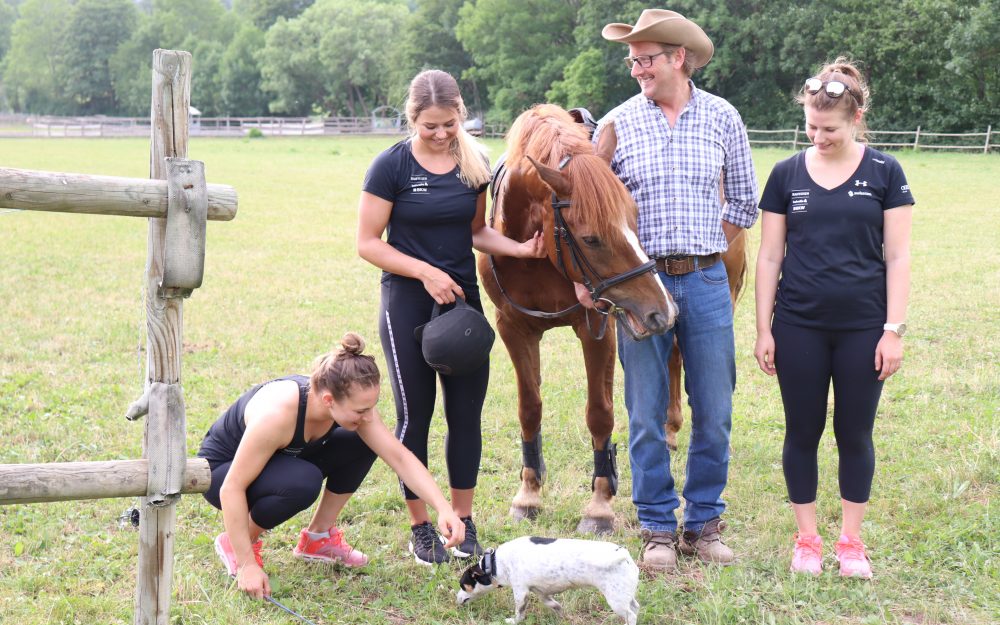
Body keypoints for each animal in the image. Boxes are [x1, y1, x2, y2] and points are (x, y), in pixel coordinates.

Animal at [456, 532, 636, 620]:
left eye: (463, 585)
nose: (457, 599)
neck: (494, 563)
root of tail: (625, 555)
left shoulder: (521, 592)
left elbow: (519, 613)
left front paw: (513, 620)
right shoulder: (541, 592)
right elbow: (553, 604)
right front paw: (561, 615)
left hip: (616, 600)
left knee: (632, 615)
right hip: (625, 595)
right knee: (635, 607)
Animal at [478, 105, 680, 532]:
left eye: (635, 216)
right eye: (590, 239)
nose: (663, 309)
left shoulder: (597, 328)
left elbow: (600, 414)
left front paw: (599, 504)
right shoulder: (513, 328)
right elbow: (529, 408)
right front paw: (529, 495)